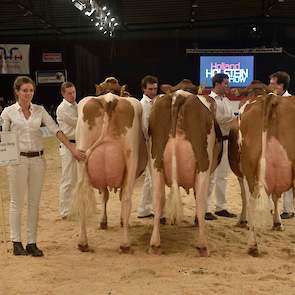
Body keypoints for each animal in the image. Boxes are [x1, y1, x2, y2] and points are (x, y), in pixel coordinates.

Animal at [72, 87, 148, 252]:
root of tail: (109, 99)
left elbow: (104, 195)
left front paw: (104, 221)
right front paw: (120, 220)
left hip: (81, 156)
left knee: (82, 197)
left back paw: (83, 243)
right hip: (131, 160)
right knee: (126, 198)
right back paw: (125, 244)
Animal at [148, 81, 222, 256]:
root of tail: (179, 95)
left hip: (155, 162)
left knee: (158, 198)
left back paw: (155, 244)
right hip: (203, 163)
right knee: (201, 200)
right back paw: (203, 246)